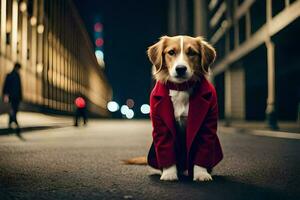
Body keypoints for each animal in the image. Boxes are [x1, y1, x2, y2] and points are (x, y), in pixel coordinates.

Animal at [124, 35, 223, 181]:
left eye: (192, 53)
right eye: (171, 52)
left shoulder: (207, 125)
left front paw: (201, 173)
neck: (180, 88)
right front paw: (169, 174)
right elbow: (166, 148)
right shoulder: (161, 127)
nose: (180, 68)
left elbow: (203, 148)